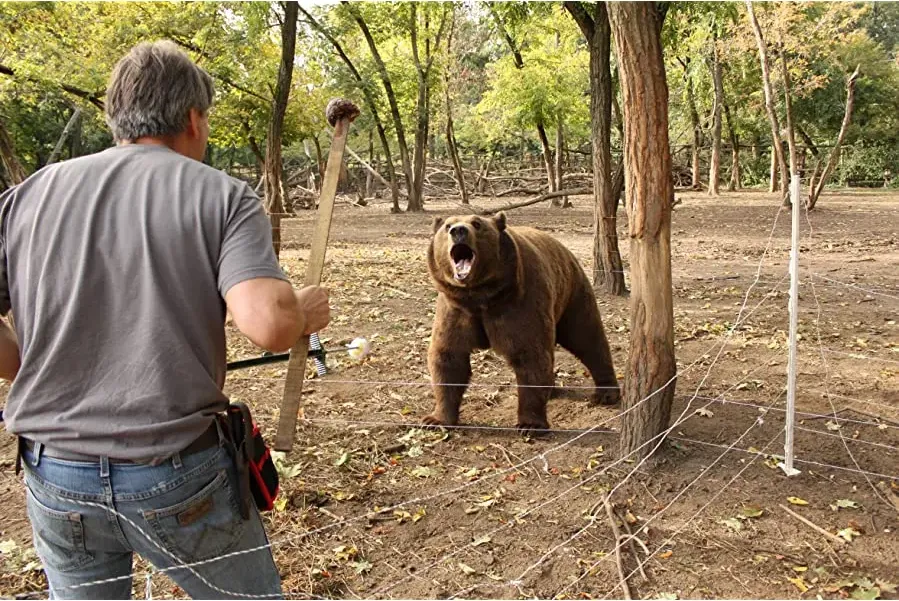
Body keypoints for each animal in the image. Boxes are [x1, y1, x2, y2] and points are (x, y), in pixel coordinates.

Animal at [423, 211, 620, 432]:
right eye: (447, 226)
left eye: (477, 223)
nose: (459, 231)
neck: (480, 296)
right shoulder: (455, 310)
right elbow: (448, 357)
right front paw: (435, 419)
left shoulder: (519, 303)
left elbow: (530, 357)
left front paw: (530, 424)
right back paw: (552, 389)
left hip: (571, 292)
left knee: (587, 337)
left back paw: (606, 393)